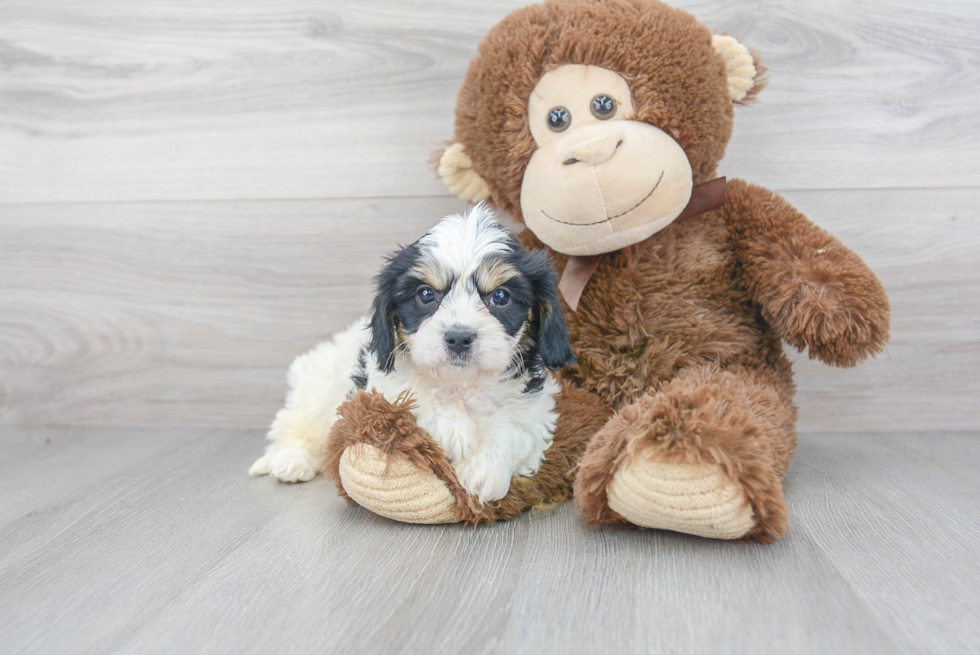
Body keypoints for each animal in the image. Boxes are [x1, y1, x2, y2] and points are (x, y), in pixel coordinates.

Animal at [249, 205, 580, 502]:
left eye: (500, 296)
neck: (461, 386)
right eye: (426, 295)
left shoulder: (533, 411)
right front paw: (455, 430)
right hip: (318, 388)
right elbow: (411, 399)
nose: (459, 337)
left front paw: (485, 473)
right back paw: (291, 460)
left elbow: (511, 427)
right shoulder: (378, 389)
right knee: (296, 426)